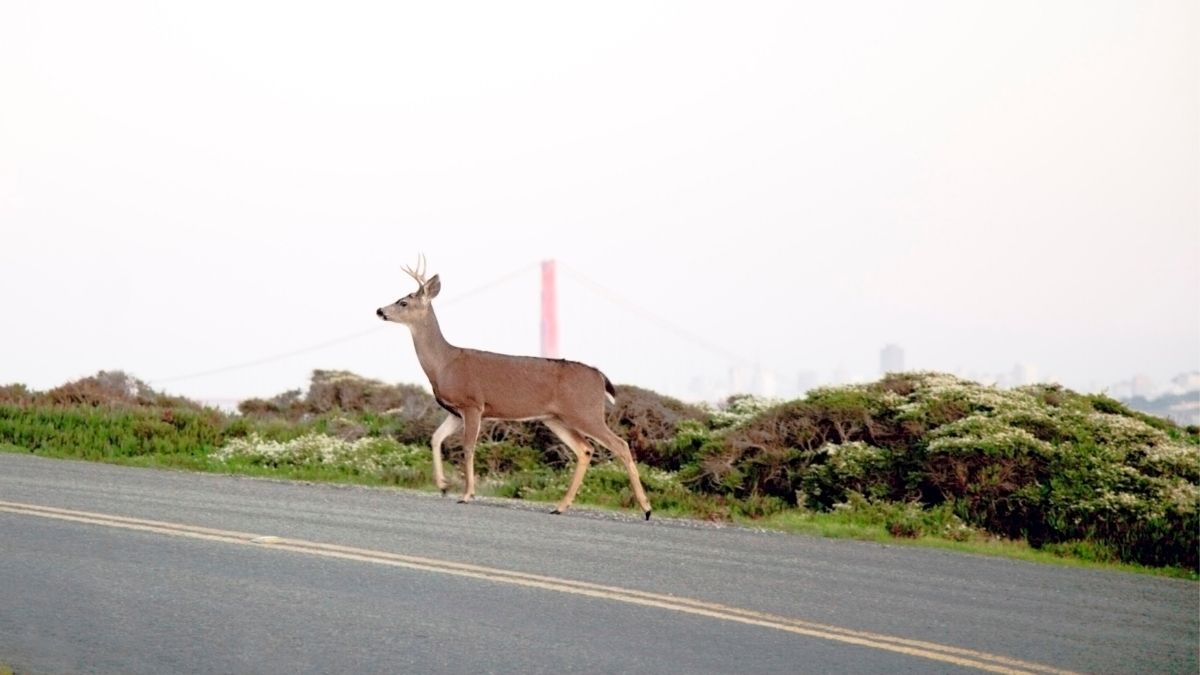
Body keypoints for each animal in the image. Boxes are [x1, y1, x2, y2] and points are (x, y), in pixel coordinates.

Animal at [375, 256, 652, 520]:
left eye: (403, 302)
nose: (379, 310)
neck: (444, 363)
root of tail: (600, 377)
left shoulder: (473, 404)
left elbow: (468, 448)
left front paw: (467, 494)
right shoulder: (455, 411)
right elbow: (435, 438)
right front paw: (443, 486)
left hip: (585, 412)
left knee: (619, 445)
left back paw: (647, 508)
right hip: (555, 418)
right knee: (585, 449)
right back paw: (560, 506)